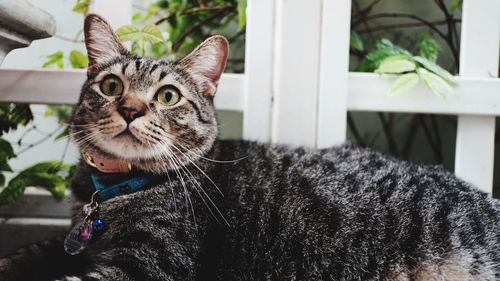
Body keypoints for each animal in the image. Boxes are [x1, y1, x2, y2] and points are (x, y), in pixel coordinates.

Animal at [0, 13, 500, 280]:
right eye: (110, 85)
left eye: (167, 96)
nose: (130, 108)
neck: (108, 191)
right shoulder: (73, 242)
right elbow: (34, 248)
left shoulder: (153, 263)